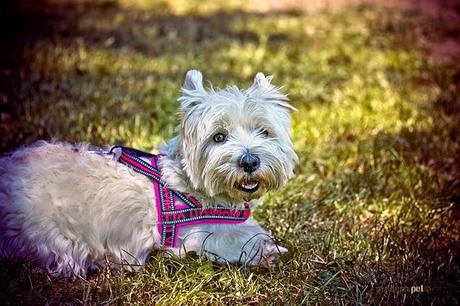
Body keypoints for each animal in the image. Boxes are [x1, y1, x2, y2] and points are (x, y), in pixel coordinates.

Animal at [0, 70, 298, 278]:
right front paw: (269, 252)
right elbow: (240, 240)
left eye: (264, 131)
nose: (250, 161)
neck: (188, 186)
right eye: (219, 137)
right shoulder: (198, 237)